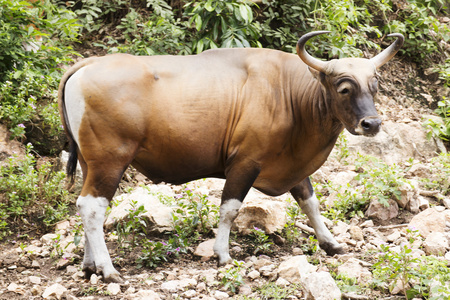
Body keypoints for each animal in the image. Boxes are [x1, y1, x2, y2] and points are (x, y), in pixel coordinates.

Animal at [57, 31, 404, 282]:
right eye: (344, 88)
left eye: (374, 86)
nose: (372, 124)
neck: (288, 94)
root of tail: (84, 65)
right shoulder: (245, 163)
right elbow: (230, 209)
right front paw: (222, 253)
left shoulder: (292, 165)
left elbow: (310, 202)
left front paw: (331, 243)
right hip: (110, 160)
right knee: (93, 207)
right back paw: (108, 270)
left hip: (90, 163)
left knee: (85, 206)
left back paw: (89, 265)